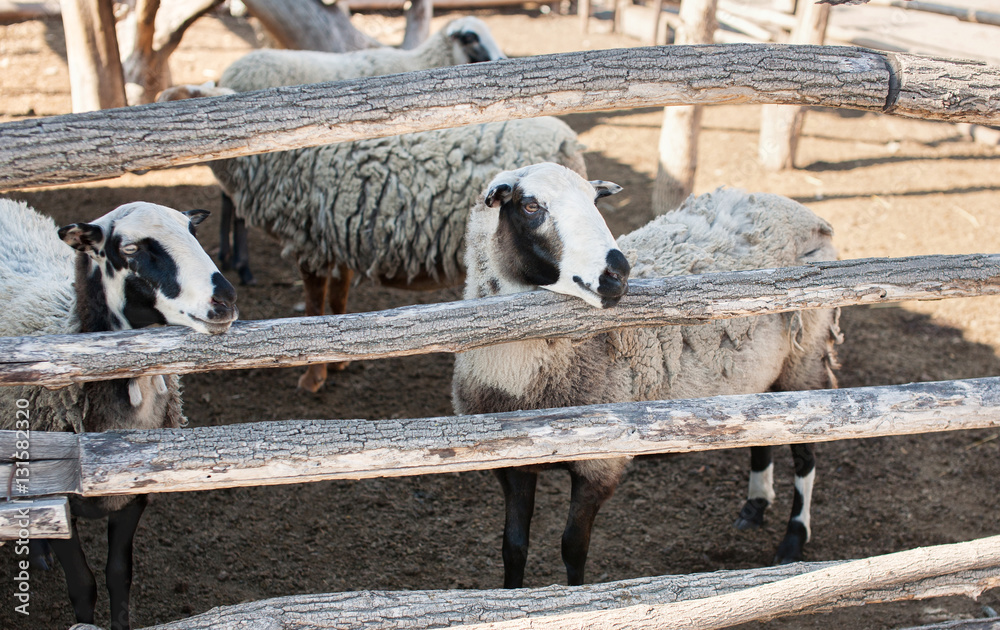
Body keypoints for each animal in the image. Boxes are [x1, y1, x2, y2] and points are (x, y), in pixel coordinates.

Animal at [0, 199, 238, 630]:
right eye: (130, 249)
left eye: (192, 232)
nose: (225, 300)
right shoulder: (59, 503)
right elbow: (83, 584)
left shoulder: (134, 496)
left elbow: (119, 575)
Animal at [209, 116, 588, 392]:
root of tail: (568, 145)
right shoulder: (338, 240)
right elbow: (337, 301)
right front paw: (338, 361)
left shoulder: (310, 244)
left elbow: (314, 309)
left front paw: (312, 377)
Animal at [452, 163, 842, 588]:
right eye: (530, 206)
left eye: (595, 201)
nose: (619, 272)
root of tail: (794, 207)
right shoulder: (512, 465)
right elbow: (513, 547)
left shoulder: (601, 465)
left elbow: (573, 548)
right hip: (759, 372)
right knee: (764, 433)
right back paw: (754, 507)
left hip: (804, 359)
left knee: (805, 457)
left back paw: (794, 539)